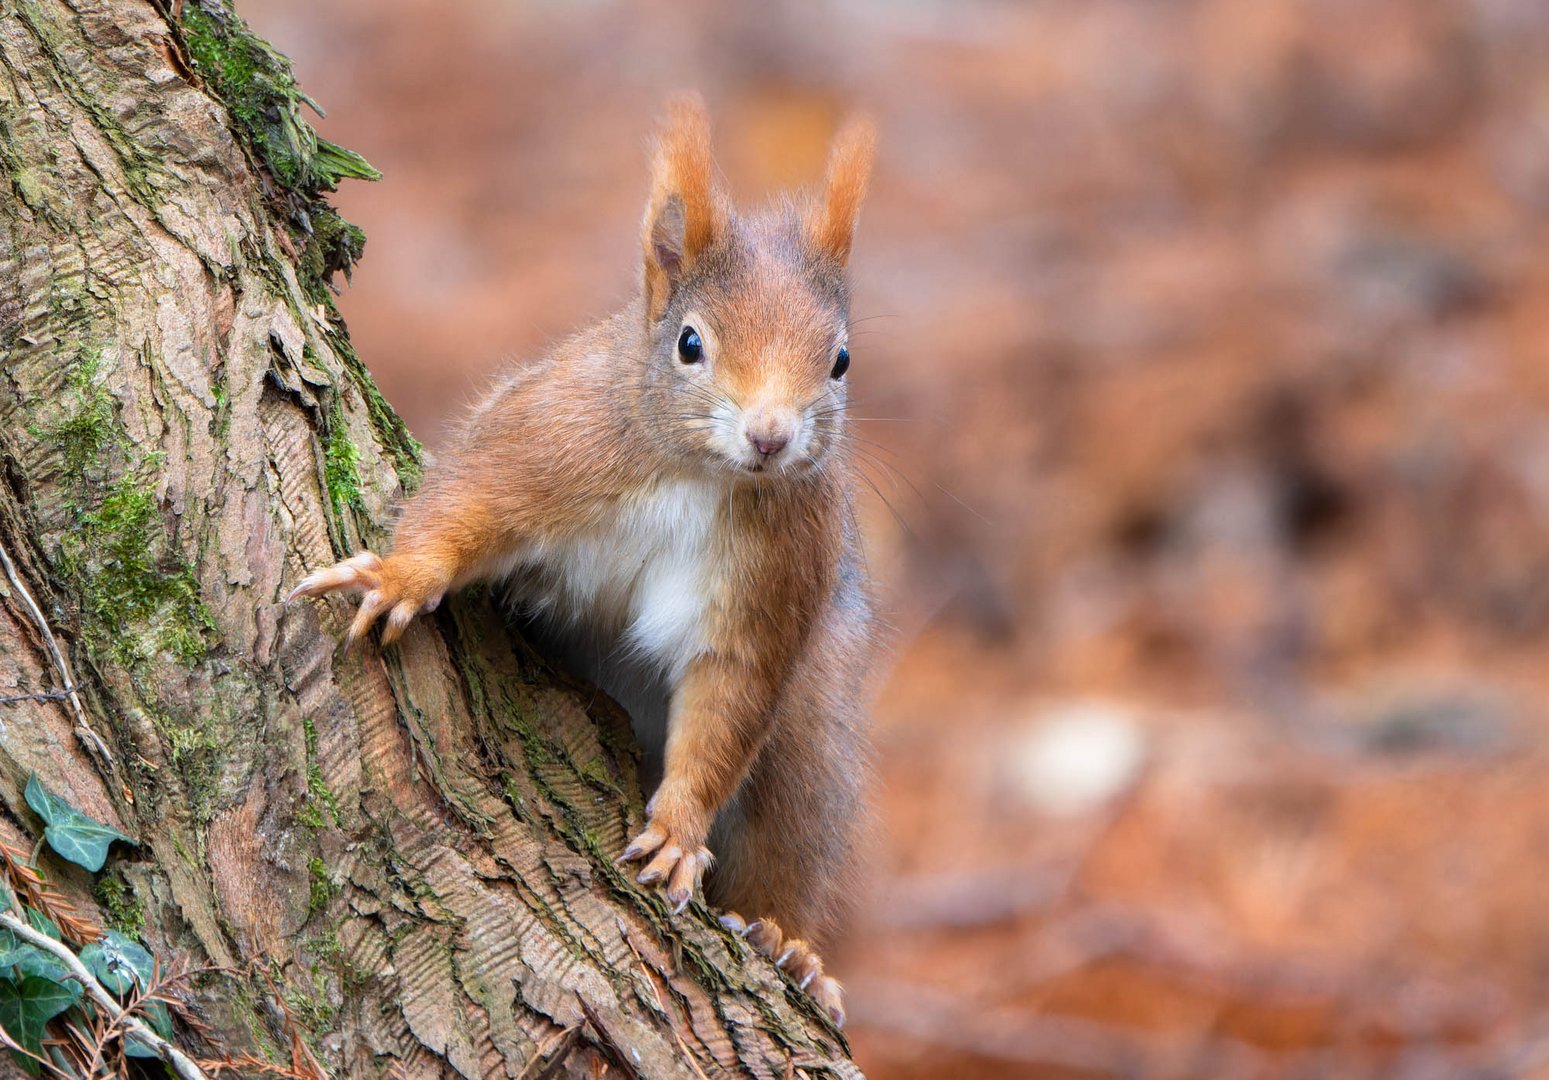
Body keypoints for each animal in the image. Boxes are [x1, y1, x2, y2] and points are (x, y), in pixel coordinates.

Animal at [288, 96, 873, 1022]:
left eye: (841, 360)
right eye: (689, 344)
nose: (770, 436)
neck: (696, 475)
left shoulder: (778, 572)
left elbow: (728, 696)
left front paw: (677, 832)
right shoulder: (551, 439)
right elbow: (471, 501)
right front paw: (399, 575)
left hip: (815, 731)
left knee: (789, 837)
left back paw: (792, 948)